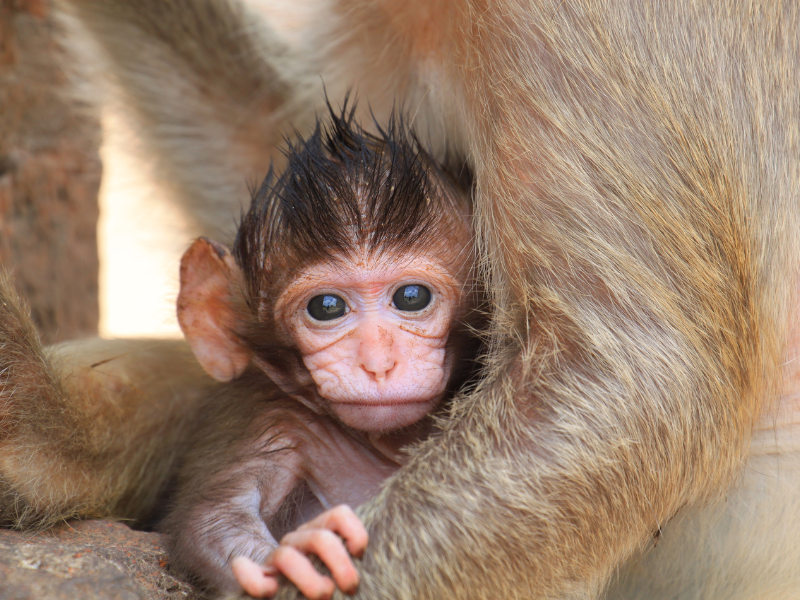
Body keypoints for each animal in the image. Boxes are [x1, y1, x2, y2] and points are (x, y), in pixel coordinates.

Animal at [162, 110, 476, 596]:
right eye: (326, 307)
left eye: (411, 297)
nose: (378, 364)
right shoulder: (274, 418)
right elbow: (209, 520)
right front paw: (290, 556)